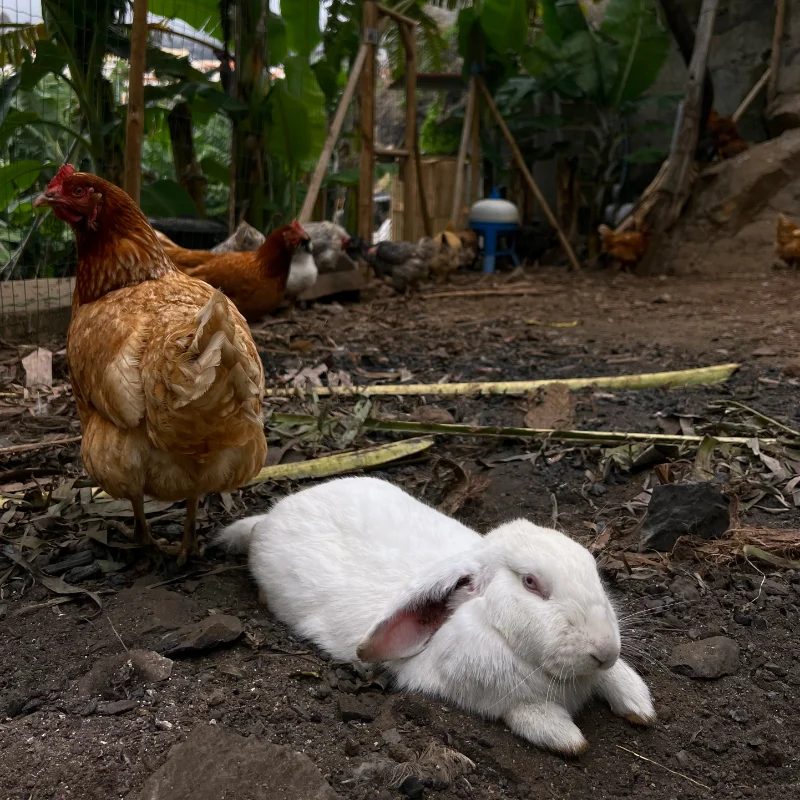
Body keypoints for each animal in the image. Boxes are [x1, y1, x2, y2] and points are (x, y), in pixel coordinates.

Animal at [218, 477, 656, 754]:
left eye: (591, 567)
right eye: (531, 583)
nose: (605, 651)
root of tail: (272, 515)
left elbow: (618, 680)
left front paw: (640, 706)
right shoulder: (495, 698)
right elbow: (531, 715)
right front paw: (568, 739)